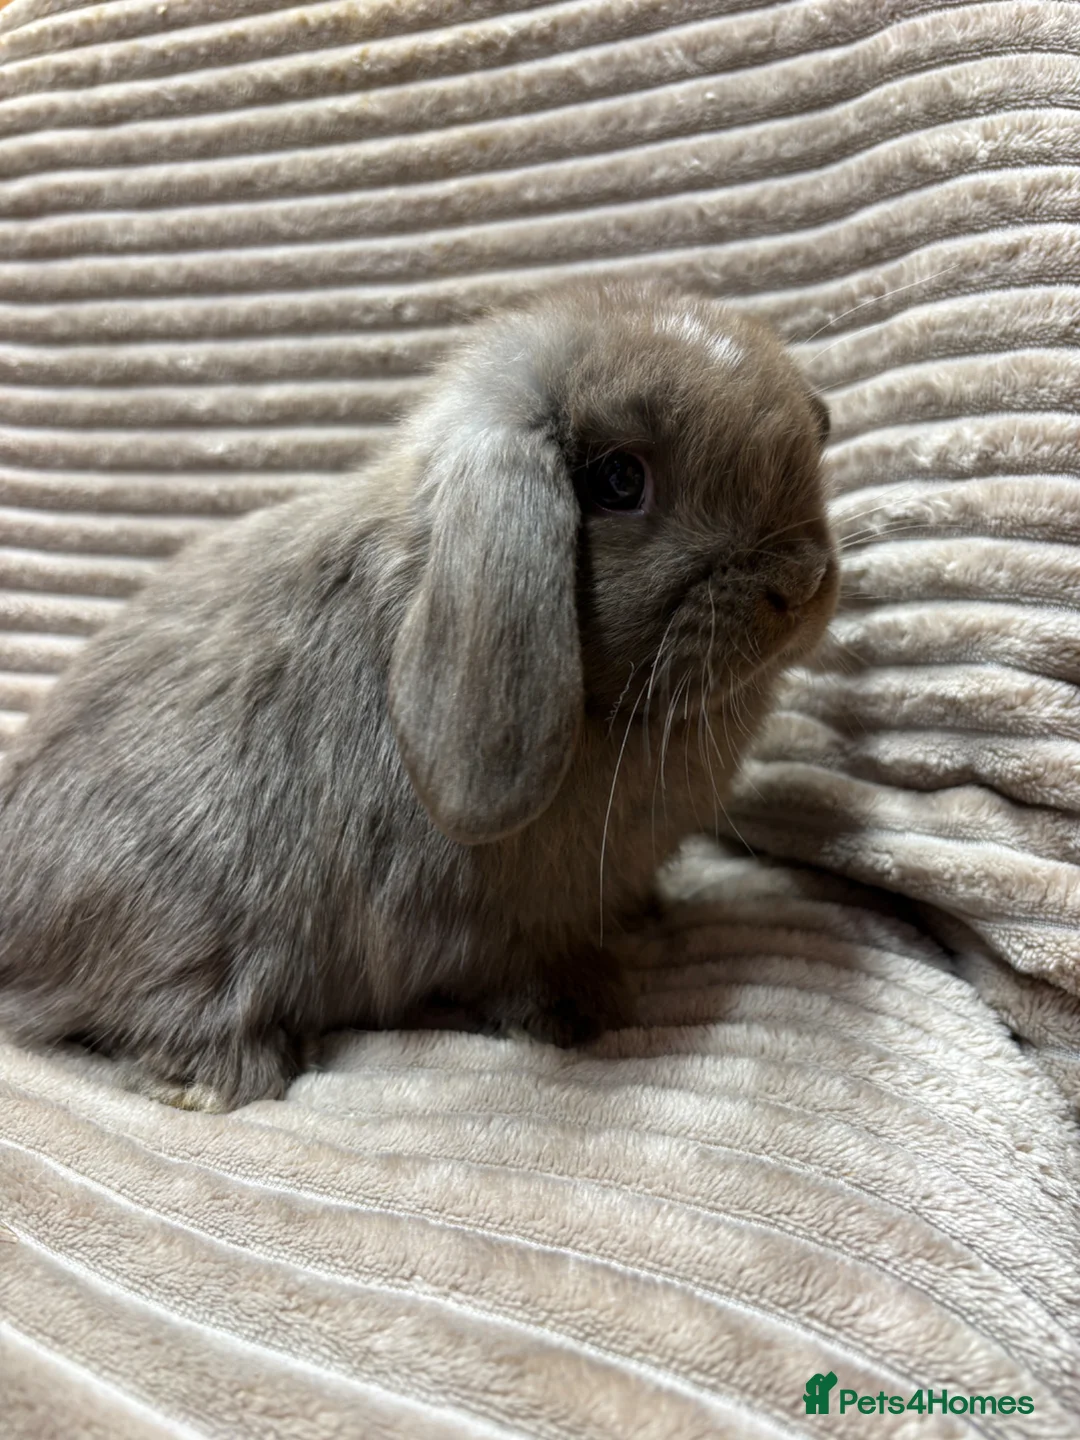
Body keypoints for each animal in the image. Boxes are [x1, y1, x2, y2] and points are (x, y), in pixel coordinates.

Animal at [0, 278, 837, 1110]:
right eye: (619, 481)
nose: (798, 584)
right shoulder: (484, 926)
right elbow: (512, 968)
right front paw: (580, 1007)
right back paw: (230, 1074)